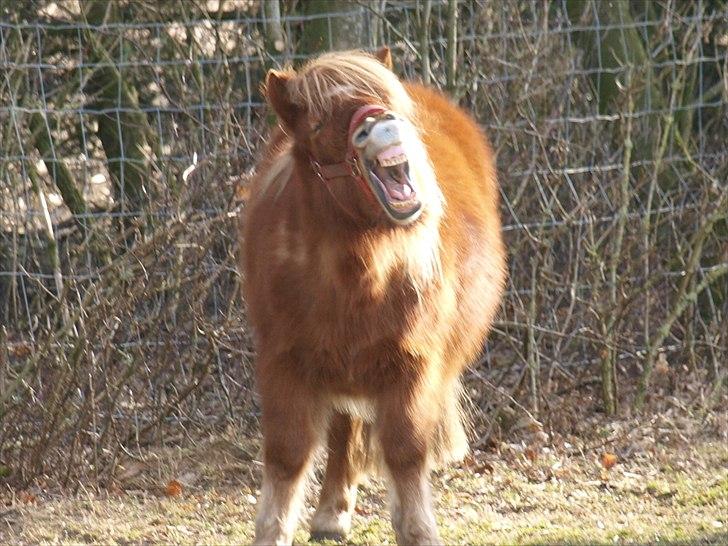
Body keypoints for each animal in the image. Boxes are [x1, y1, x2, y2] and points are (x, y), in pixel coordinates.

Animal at [242, 47, 504, 544]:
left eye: (386, 99)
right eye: (317, 123)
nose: (382, 123)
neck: (355, 275)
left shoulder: (412, 368)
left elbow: (405, 452)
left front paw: (418, 531)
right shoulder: (282, 364)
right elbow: (287, 455)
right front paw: (274, 531)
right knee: (343, 428)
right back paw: (331, 515)